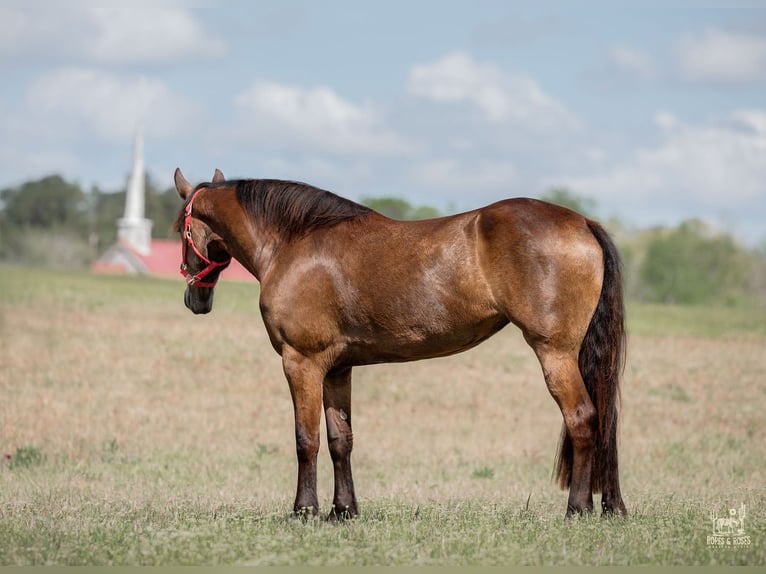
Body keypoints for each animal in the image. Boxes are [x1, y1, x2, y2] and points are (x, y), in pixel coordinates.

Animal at [173, 167, 627, 519]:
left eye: (181, 228)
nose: (196, 300)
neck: (294, 242)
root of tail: (583, 223)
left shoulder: (301, 361)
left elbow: (306, 439)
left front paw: (304, 510)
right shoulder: (336, 368)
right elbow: (340, 440)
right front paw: (343, 510)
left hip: (555, 352)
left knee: (583, 417)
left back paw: (577, 509)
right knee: (603, 419)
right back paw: (609, 507)